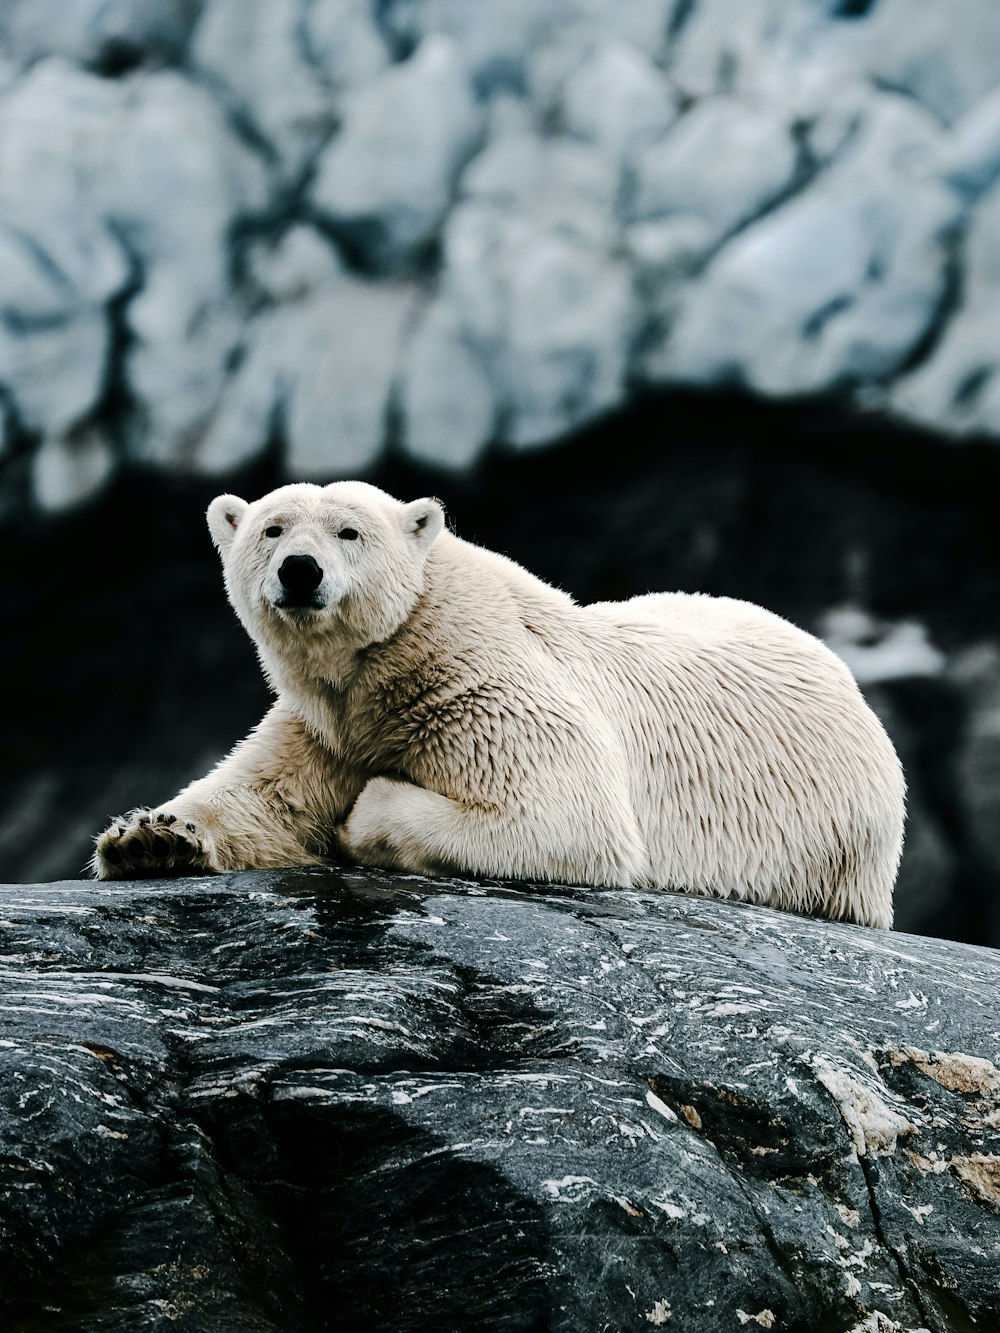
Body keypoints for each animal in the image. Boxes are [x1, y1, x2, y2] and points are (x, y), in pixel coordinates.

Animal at [94, 479, 906, 927]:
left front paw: (360, 816)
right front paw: (151, 839)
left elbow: (566, 817)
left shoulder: (482, 688)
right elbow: (262, 797)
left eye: (348, 531)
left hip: (830, 843)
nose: (299, 570)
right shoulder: (325, 724)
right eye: (271, 528)